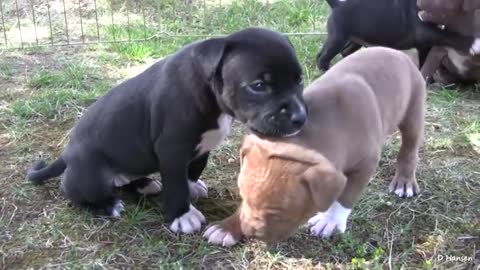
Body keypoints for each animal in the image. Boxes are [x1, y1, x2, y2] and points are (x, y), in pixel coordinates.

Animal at [26, 26, 306, 234]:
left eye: (300, 80)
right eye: (258, 86)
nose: (300, 118)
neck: (209, 91)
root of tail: (66, 154)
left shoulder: (201, 146)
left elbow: (194, 168)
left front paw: (192, 187)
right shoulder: (172, 149)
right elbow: (176, 183)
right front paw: (181, 216)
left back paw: (143, 184)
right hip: (90, 177)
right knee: (78, 194)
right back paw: (109, 205)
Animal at [201, 47, 426, 247]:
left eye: (278, 214)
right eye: (242, 197)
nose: (248, 231)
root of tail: (401, 53)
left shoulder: (365, 165)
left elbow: (346, 195)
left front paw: (331, 220)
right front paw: (227, 227)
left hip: (414, 110)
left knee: (409, 149)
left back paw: (404, 181)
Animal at [316, 0, 480, 71]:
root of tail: (338, 4)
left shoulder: (424, 45)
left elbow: (425, 60)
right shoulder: (425, 32)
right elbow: (448, 35)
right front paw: (474, 43)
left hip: (354, 40)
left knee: (340, 52)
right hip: (338, 38)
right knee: (323, 57)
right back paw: (325, 69)